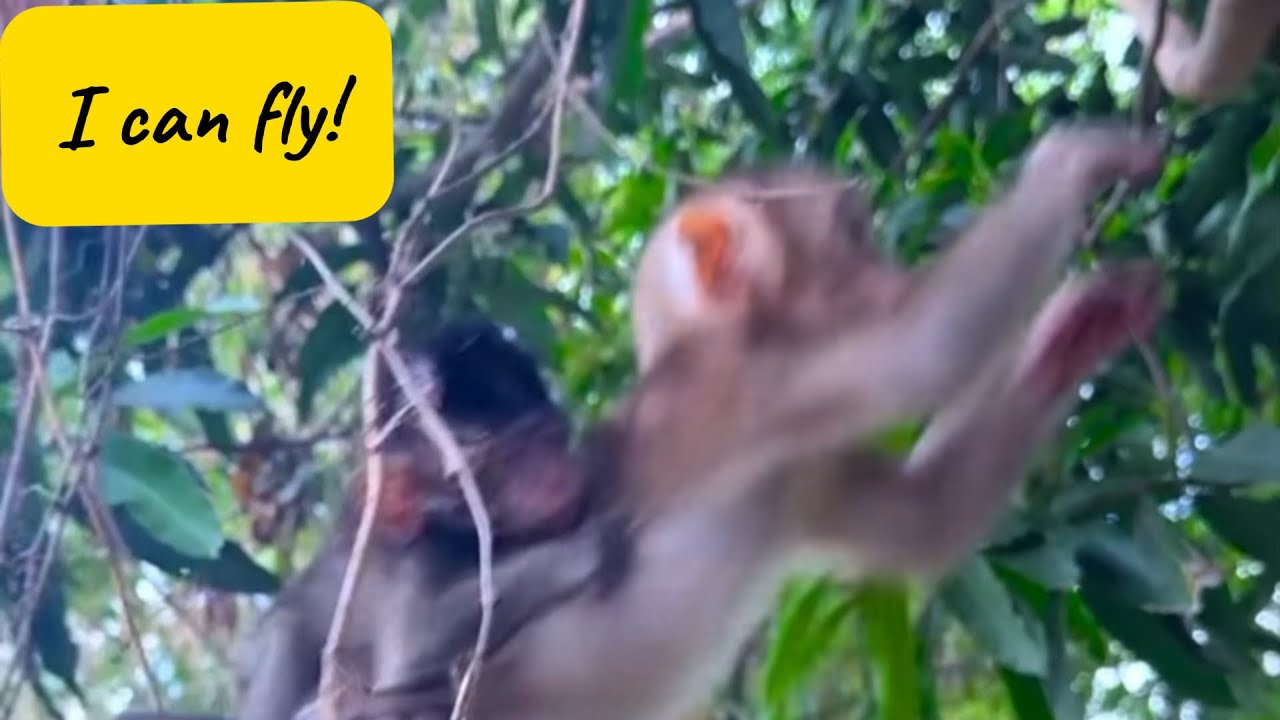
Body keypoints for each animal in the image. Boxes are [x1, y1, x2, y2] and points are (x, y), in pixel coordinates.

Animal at [342, 123, 1168, 720]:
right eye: (854, 236)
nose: (893, 270)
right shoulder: (748, 386)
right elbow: (928, 348)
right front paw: (1072, 159)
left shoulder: (798, 469)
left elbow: (926, 520)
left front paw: (1082, 326)